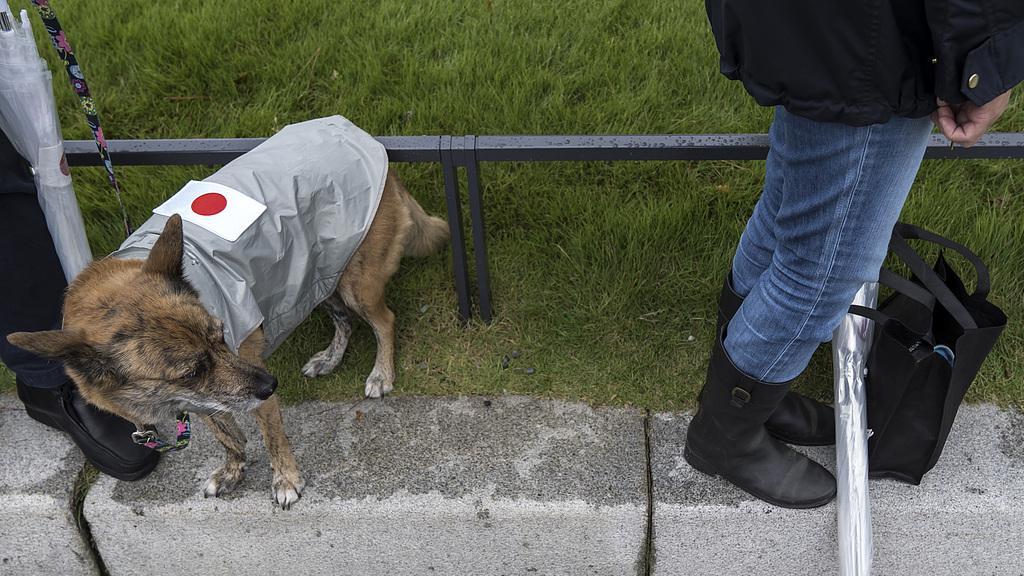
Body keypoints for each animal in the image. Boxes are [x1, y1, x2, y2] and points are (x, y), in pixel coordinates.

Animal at [8, 170, 448, 506]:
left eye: (221, 335)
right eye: (191, 372)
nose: (273, 384)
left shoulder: (252, 386)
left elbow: (272, 438)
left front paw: (285, 480)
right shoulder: (205, 400)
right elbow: (228, 437)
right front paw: (234, 470)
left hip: (355, 281)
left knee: (384, 320)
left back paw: (381, 373)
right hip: (318, 275)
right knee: (345, 321)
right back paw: (329, 358)